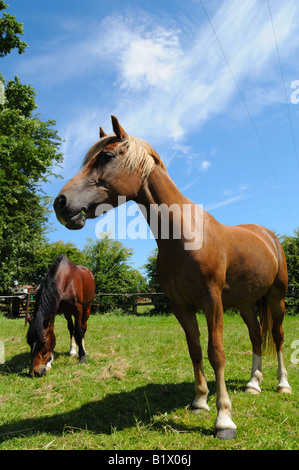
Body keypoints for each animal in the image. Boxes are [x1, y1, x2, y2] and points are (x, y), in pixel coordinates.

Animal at [54, 115, 292, 438]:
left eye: (106, 156)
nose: (61, 203)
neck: (184, 235)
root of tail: (269, 236)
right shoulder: (181, 306)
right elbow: (195, 350)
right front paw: (200, 401)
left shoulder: (212, 301)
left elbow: (216, 352)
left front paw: (224, 419)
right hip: (245, 303)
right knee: (256, 337)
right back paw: (253, 384)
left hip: (276, 298)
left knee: (277, 337)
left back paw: (282, 384)